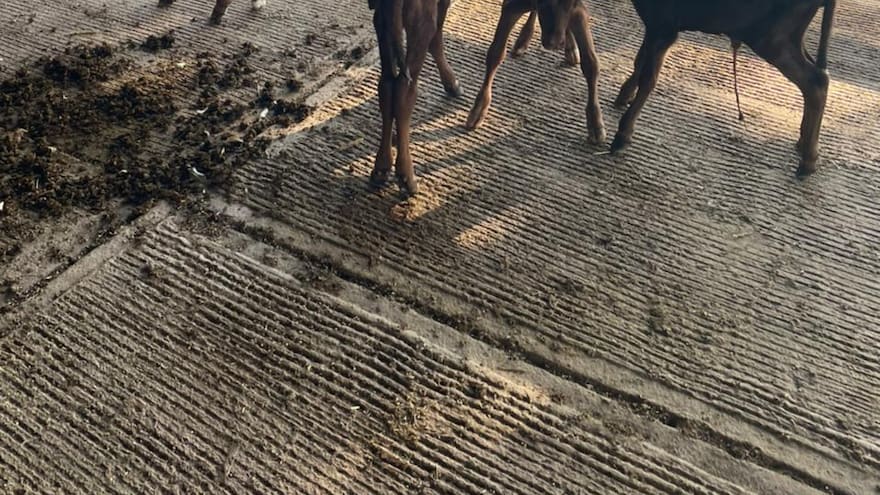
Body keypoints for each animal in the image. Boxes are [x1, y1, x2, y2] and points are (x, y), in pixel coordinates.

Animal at [368, 0, 462, 197]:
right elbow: (437, 33)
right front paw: (451, 82)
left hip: (383, 22)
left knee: (387, 84)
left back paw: (381, 168)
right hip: (418, 21)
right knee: (404, 89)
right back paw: (406, 176)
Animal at [465, 0, 607, 148]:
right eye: (545, 4)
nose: (554, 43)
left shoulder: (578, 9)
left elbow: (591, 64)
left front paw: (596, 124)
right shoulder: (510, 7)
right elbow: (495, 54)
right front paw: (479, 109)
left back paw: (569, 46)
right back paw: (524, 39)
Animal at [609, 0, 837, 178]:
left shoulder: (664, 25)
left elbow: (648, 78)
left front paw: (623, 134)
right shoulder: (654, 25)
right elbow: (639, 61)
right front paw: (623, 96)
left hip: (772, 37)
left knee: (815, 81)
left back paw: (808, 161)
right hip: (788, 36)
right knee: (818, 76)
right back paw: (804, 143)